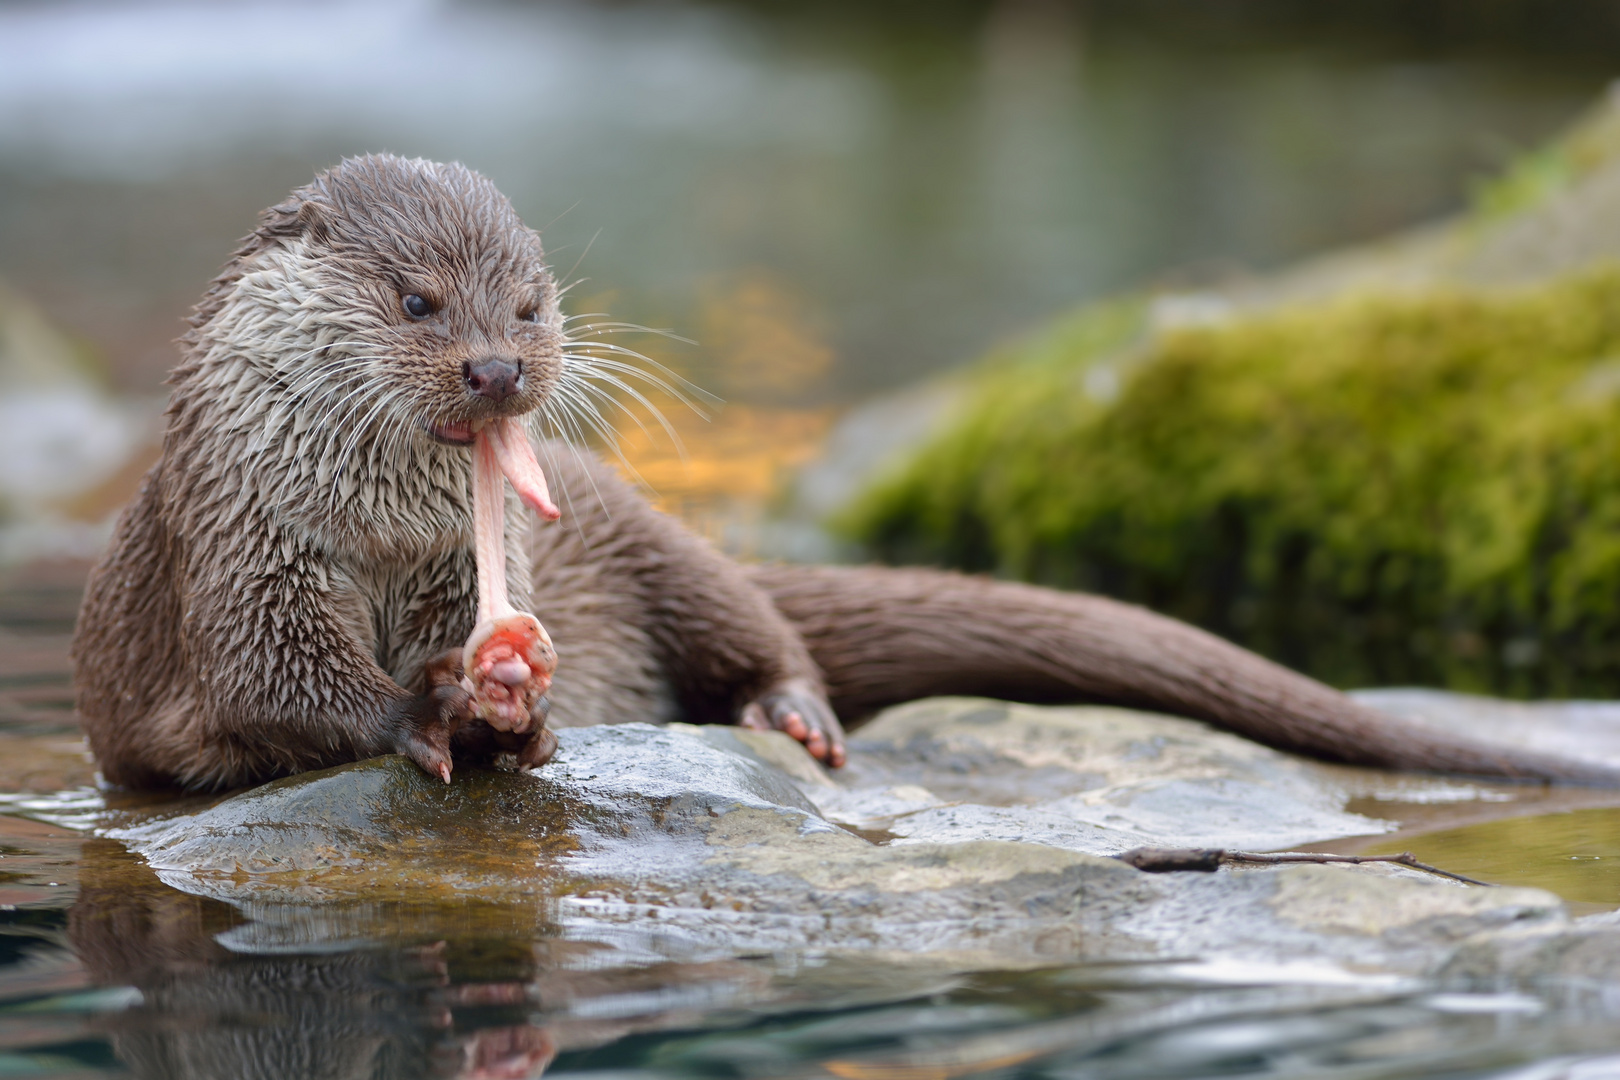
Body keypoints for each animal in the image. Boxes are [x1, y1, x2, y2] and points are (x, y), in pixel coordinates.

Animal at [72, 152, 1620, 790]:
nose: (502, 373)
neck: (389, 548)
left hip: (659, 541)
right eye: (417, 301)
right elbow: (284, 685)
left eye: (529, 301)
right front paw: (437, 711)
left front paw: (523, 717)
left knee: (765, 625)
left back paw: (793, 721)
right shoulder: (244, 553)